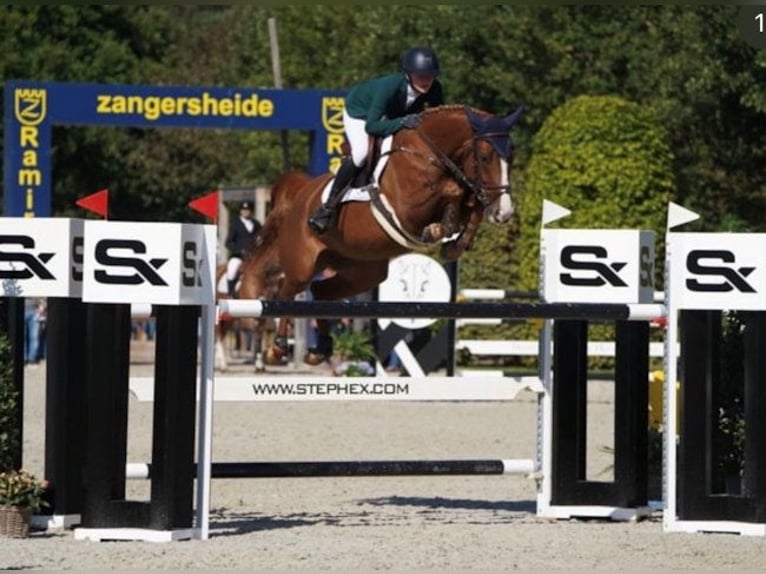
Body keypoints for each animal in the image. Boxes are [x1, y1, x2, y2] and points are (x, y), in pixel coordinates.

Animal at [239, 104, 523, 365]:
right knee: (285, 292)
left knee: (320, 292)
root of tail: (301, 193)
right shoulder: (409, 207)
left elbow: (472, 202)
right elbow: (454, 191)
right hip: (302, 263)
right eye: (484, 157)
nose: (504, 212)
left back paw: (320, 350)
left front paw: (455, 242)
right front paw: (438, 230)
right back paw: (277, 349)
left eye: (511, 154)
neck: (429, 151)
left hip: (361, 271)